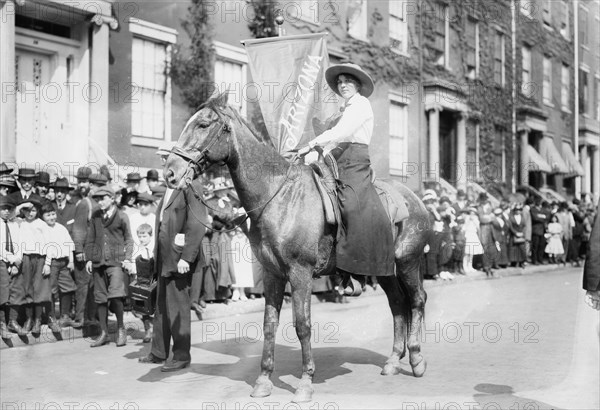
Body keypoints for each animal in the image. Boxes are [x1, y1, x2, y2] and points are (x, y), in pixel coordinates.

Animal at [162, 91, 428, 402]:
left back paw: (416, 359)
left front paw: (305, 383)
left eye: (203, 124)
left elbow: (302, 325)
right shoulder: (272, 274)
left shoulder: (300, 274)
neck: (279, 196)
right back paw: (394, 360)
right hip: (385, 270)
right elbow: (269, 325)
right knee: (398, 304)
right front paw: (263, 380)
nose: (170, 173)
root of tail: (415, 199)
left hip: (408, 262)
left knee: (417, 300)